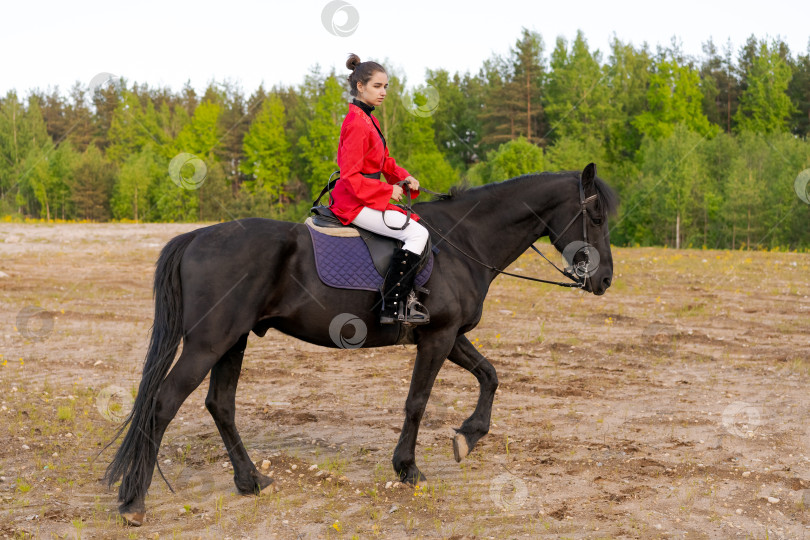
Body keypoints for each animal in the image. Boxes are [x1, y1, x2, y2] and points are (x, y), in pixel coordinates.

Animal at [104, 163, 616, 524]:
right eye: (594, 216)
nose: (606, 280)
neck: (464, 241)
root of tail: (196, 237)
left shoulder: (452, 336)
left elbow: (490, 375)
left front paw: (467, 437)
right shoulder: (437, 337)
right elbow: (417, 402)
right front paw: (408, 468)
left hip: (231, 342)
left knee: (220, 404)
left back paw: (251, 481)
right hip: (209, 343)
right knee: (163, 403)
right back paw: (134, 504)